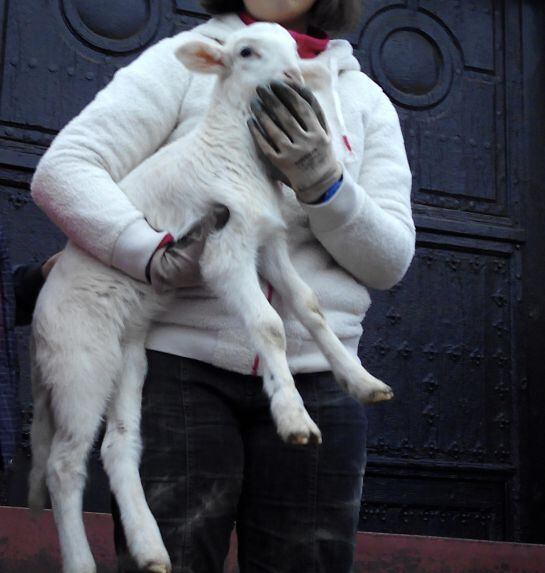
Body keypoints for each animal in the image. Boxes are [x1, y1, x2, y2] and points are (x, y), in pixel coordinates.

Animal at [27, 23, 392, 572]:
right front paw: (294, 417)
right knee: (65, 464)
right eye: (246, 51)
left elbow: (309, 305)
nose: (292, 77)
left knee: (119, 445)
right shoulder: (224, 248)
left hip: (126, 355)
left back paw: (150, 546)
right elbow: (269, 326)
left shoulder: (268, 242)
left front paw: (362, 381)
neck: (233, 151)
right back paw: (83, 560)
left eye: (296, 47)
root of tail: (39, 315)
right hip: (79, 357)